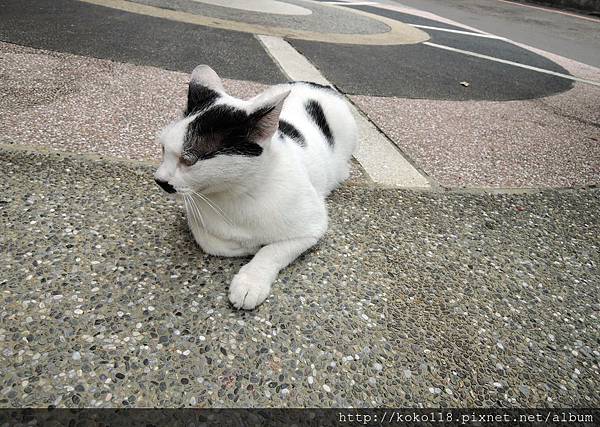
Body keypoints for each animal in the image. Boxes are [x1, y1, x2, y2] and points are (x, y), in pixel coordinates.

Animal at [155, 64, 358, 310]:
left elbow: (273, 250)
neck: (236, 194)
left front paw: (251, 279)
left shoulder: (312, 227)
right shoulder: (198, 220)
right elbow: (211, 242)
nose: (159, 180)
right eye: (163, 149)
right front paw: (248, 247)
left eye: (188, 160)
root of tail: (320, 85)